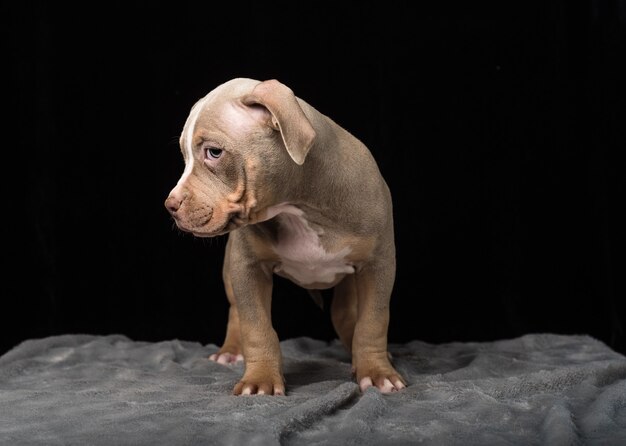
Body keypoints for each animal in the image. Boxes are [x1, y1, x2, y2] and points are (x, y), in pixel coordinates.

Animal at [165, 78, 404, 396]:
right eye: (184, 156)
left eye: (214, 152)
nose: (170, 205)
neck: (299, 207)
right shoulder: (247, 266)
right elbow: (256, 326)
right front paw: (260, 379)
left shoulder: (378, 264)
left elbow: (373, 321)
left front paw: (377, 373)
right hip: (229, 269)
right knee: (236, 311)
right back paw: (230, 351)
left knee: (344, 313)